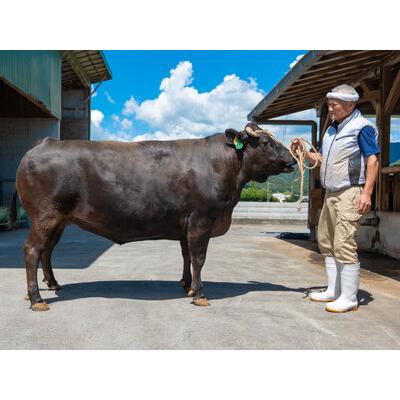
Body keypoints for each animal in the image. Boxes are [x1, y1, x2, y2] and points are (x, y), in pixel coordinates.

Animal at [8, 123, 296, 310]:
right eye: (266, 143)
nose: (293, 160)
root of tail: (44, 143)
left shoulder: (186, 224)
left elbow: (187, 257)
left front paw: (187, 285)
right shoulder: (201, 220)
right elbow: (199, 259)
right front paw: (199, 295)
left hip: (58, 221)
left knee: (46, 251)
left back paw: (51, 286)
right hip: (46, 216)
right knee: (32, 250)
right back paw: (37, 300)